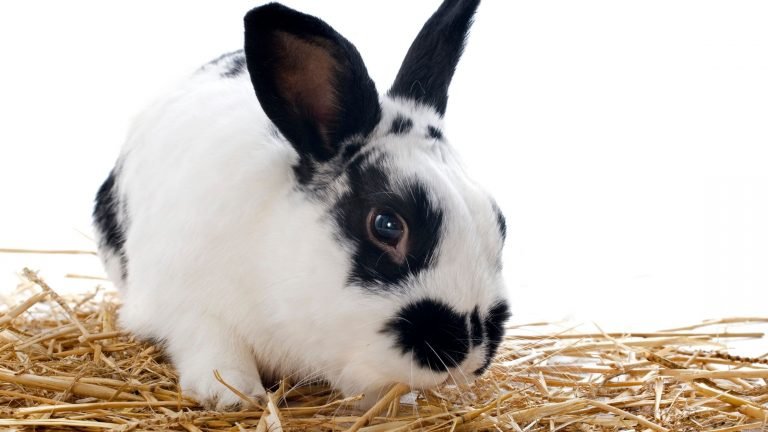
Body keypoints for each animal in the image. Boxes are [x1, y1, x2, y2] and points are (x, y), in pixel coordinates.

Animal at [93, 0, 510, 410]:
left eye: (499, 224)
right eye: (387, 225)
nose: (468, 353)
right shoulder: (187, 306)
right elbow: (215, 344)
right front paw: (233, 395)